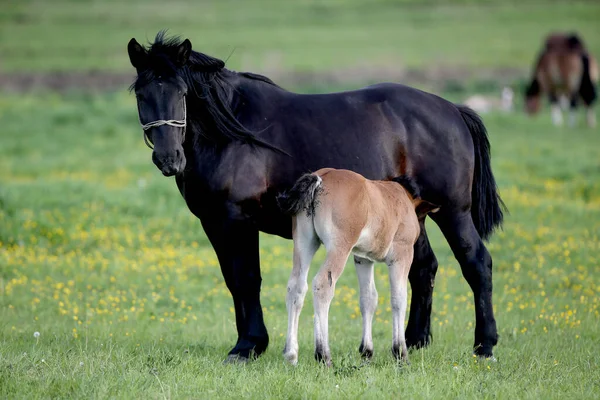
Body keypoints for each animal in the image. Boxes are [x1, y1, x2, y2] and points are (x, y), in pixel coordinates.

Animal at [278, 169, 438, 366]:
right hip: (339, 248)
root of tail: (321, 178)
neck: (402, 198)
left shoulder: (362, 258)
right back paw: (324, 355)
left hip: (304, 242)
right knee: (323, 285)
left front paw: (367, 352)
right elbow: (399, 299)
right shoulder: (402, 254)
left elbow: (368, 298)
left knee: (296, 287)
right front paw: (400, 353)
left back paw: (291, 355)